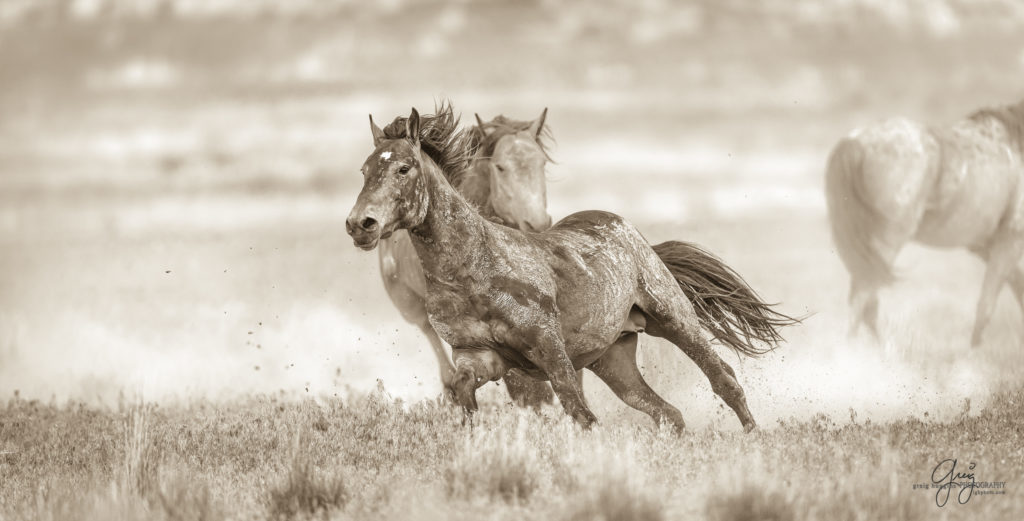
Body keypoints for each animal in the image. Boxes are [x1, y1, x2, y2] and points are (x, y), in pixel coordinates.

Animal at [823, 98, 1024, 345]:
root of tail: (856, 142)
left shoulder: (985, 246)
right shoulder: (1010, 239)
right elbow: (986, 305)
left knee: (867, 302)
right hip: (885, 243)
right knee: (862, 297)